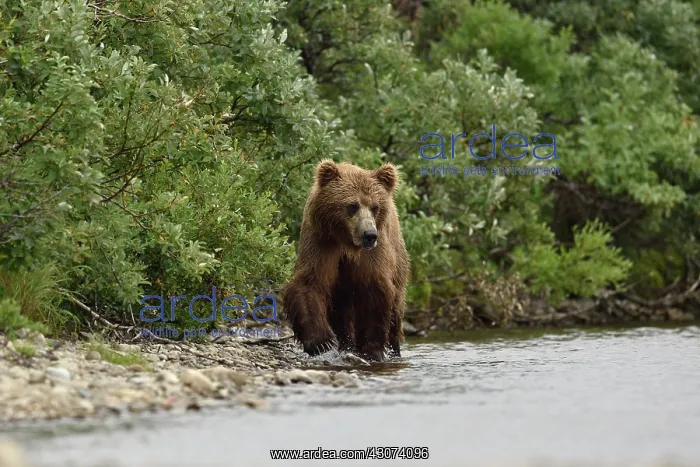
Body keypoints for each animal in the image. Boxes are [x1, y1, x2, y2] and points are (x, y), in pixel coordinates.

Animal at [282, 159, 411, 362]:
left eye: (375, 207)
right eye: (352, 205)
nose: (369, 235)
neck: (347, 242)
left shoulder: (373, 254)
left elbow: (375, 289)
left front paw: (371, 349)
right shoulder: (322, 241)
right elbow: (310, 282)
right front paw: (322, 342)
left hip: (399, 264)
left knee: (395, 314)